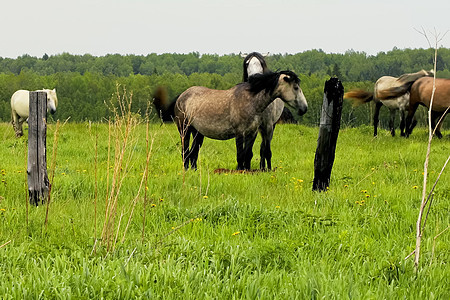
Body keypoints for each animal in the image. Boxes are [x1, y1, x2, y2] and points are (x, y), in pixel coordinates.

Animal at [174, 69, 308, 169]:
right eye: (296, 87)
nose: (304, 108)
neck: (250, 101)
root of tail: (181, 96)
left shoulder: (252, 133)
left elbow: (248, 154)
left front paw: (247, 171)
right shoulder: (239, 133)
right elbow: (240, 155)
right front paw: (240, 170)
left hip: (198, 133)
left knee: (193, 153)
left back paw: (194, 170)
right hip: (184, 130)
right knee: (185, 152)